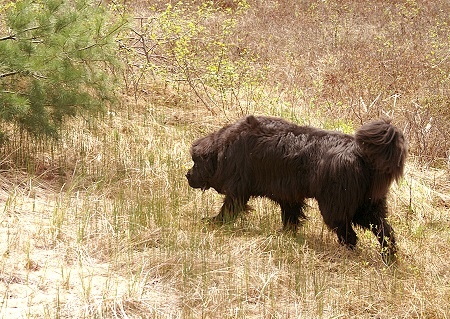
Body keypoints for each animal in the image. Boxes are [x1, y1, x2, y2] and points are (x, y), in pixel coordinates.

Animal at [186, 115, 408, 262]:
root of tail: (362, 155)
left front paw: (215, 222)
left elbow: (229, 207)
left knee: (351, 235)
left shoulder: (238, 189)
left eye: (195, 161)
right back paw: (389, 259)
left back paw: (346, 254)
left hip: (337, 207)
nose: (187, 175)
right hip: (368, 206)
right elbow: (290, 216)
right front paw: (286, 234)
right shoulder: (288, 195)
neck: (224, 150)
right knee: (386, 231)